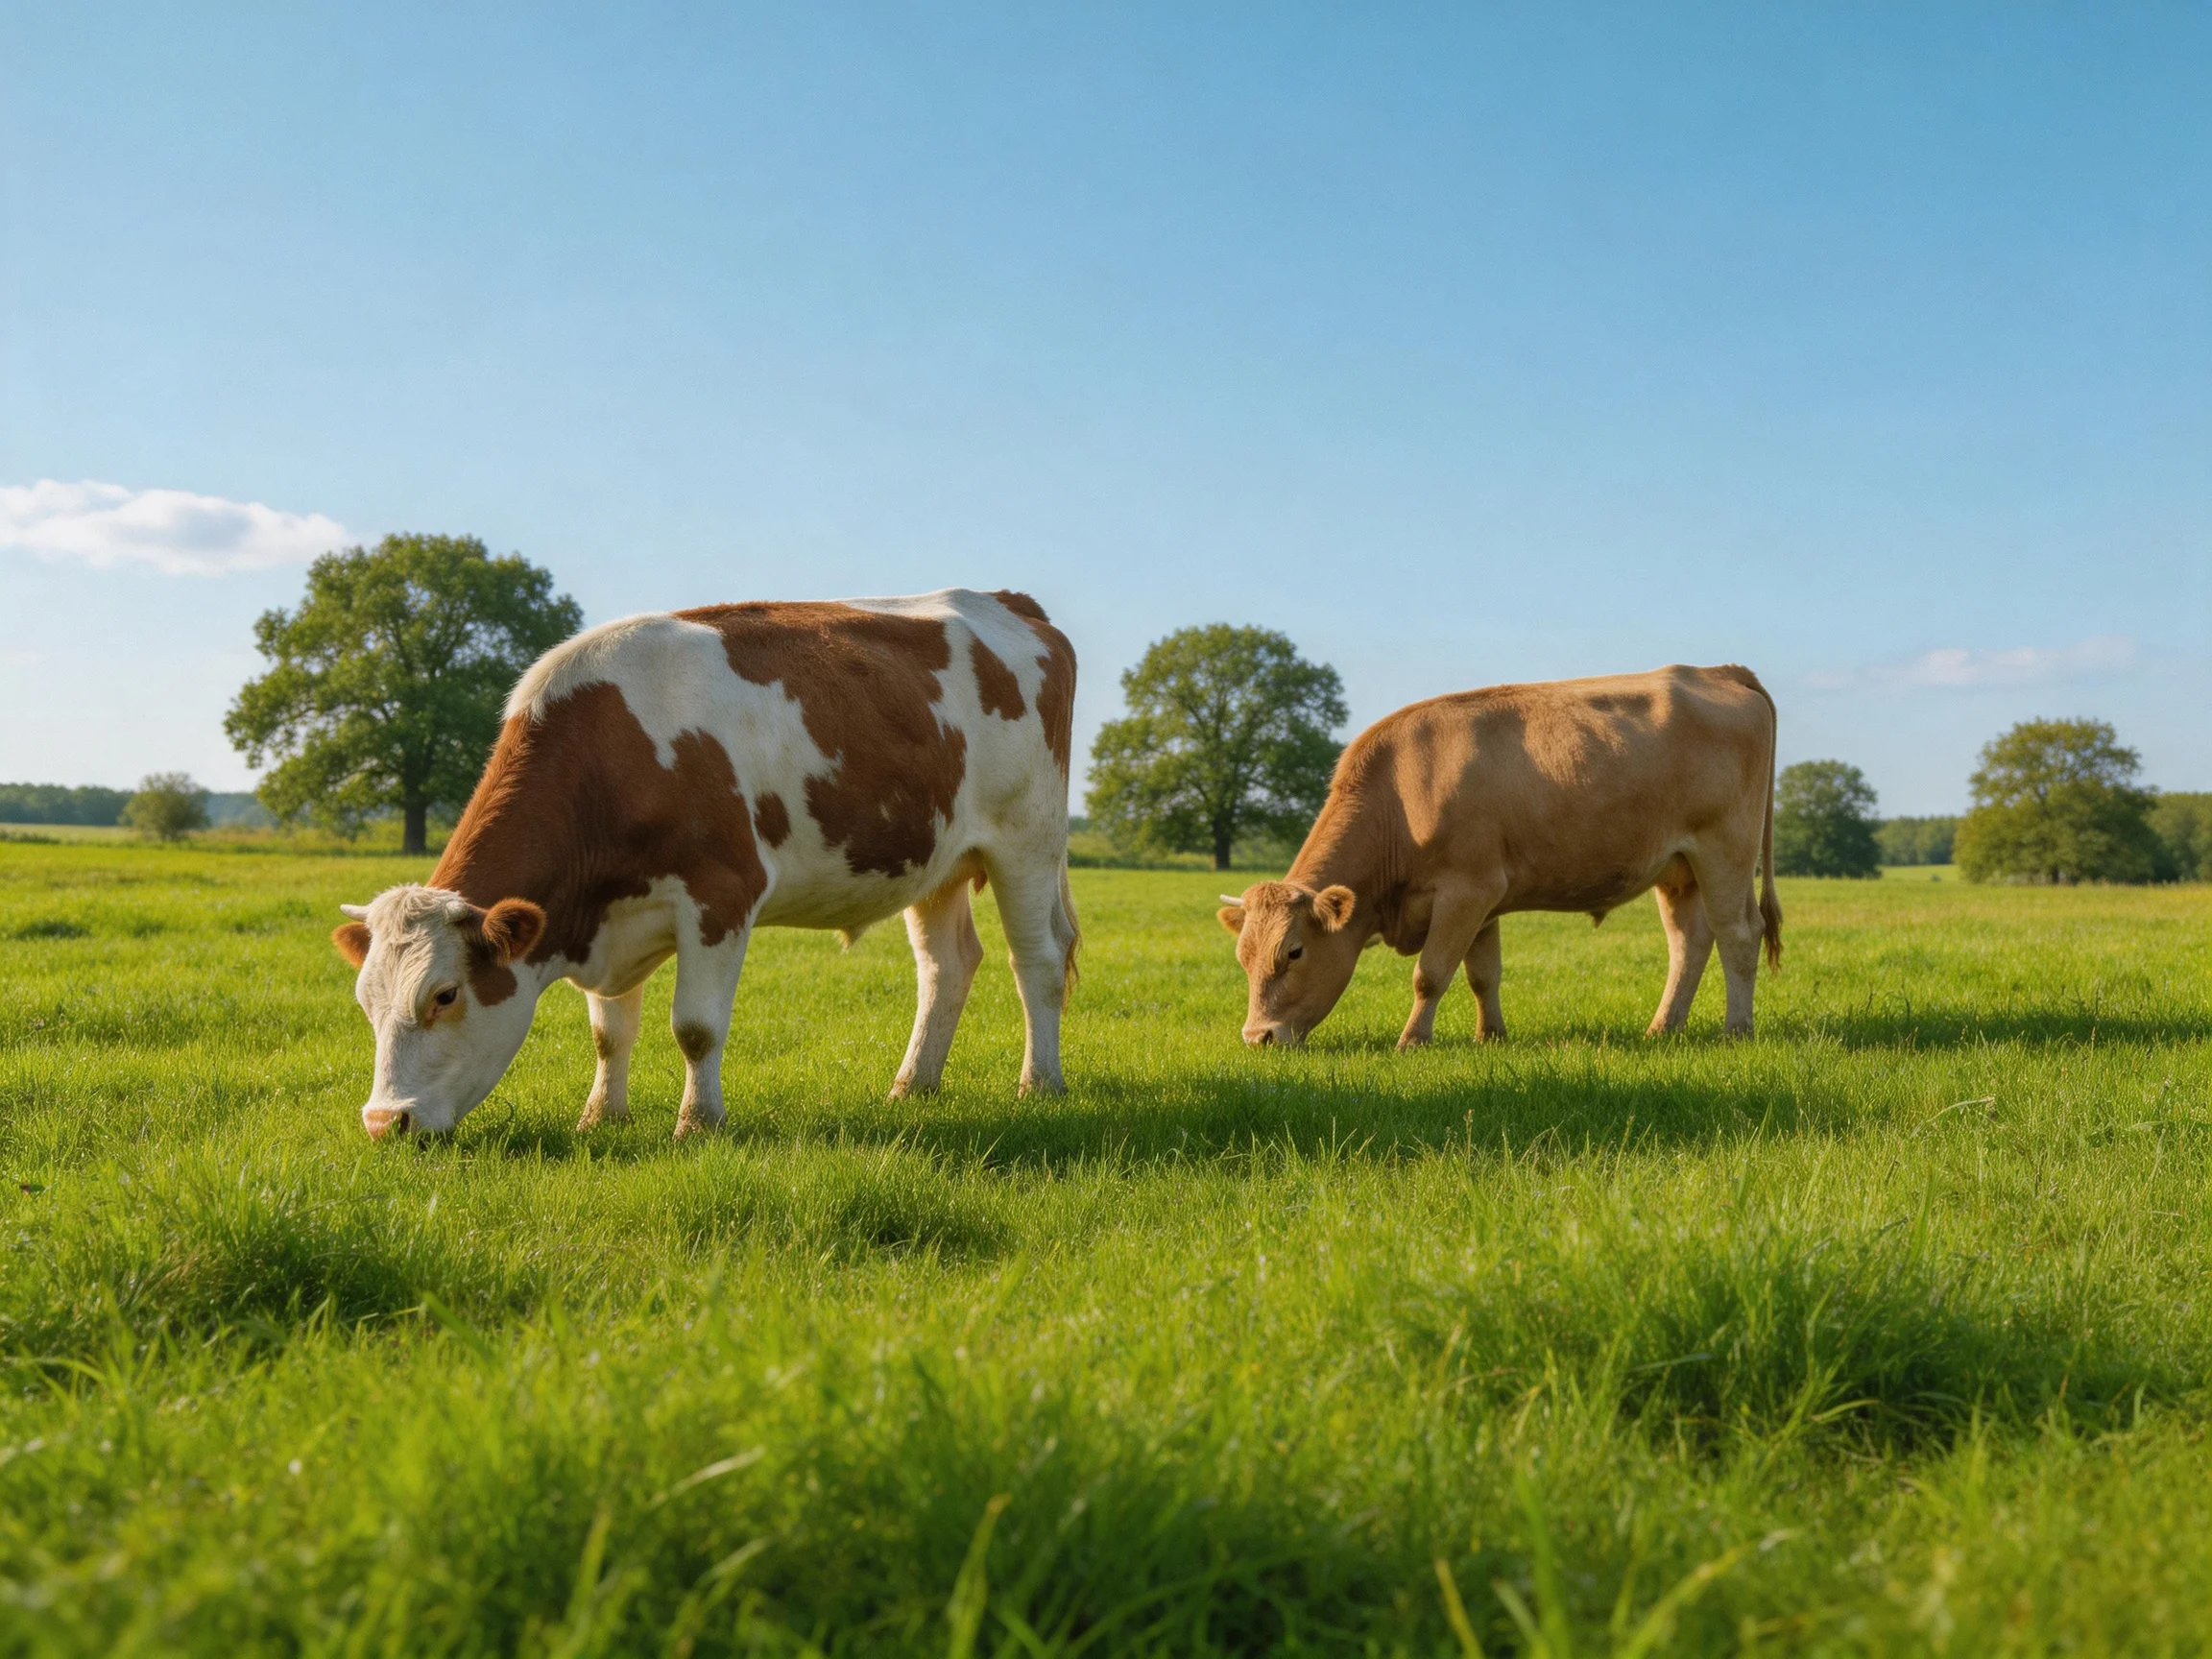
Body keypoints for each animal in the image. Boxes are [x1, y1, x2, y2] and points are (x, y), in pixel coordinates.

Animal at [331, 588, 1079, 1139]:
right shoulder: (607, 915)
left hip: (1028, 838)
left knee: (1036, 960)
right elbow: (609, 1032)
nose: (383, 1124)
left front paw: (698, 1124)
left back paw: (1040, 1083)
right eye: (365, 1001)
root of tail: (1007, 601)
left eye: (444, 995)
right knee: (946, 966)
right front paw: (601, 1118)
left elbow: (695, 1027)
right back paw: (912, 1086)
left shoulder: (722, 893)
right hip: (938, 858)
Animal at [1217, 664, 1781, 1050]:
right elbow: (1481, 974)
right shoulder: (1483, 901)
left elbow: (1430, 974)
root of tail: (1717, 670)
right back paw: (1663, 1028)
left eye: (1294, 952)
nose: (1257, 1037)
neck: (1403, 794)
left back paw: (1737, 1030)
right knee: (1689, 941)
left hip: (1725, 851)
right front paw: (1491, 1036)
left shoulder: (1466, 891)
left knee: (1738, 933)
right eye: (1243, 956)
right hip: (1678, 867)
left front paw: (1412, 1041)